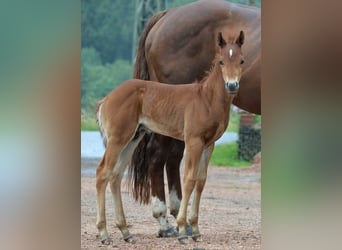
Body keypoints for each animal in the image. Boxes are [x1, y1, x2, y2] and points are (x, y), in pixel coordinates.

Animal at [130, 0, 260, 238]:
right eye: (220, 61)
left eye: (243, 60)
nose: (232, 85)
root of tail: (166, 15)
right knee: (158, 155)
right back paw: (166, 222)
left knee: (172, 158)